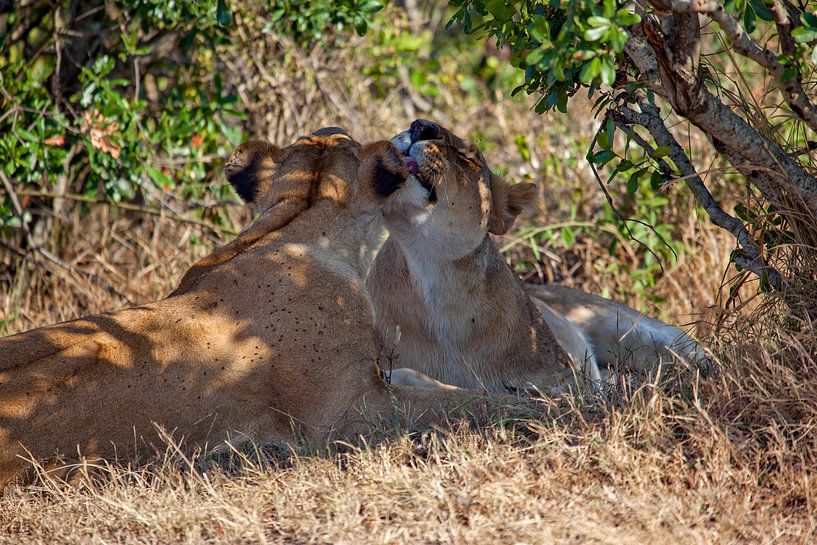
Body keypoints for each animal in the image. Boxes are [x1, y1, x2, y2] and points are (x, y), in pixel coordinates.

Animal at [367, 119, 710, 394]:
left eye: (469, 157)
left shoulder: (565, 378)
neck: (434, 279)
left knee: (684, 349)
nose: (419, 126)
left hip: (626, 326)